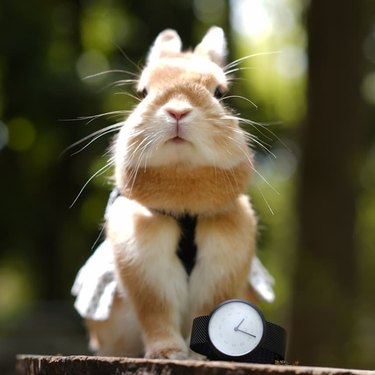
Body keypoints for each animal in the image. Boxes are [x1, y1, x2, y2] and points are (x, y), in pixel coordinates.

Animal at [81, 27, 258, 362]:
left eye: (220, 93)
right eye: (143, 92)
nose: (177, 111)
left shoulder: (221, 272)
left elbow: (207, 312)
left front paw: (201, 357)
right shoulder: (146, 270)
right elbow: (157, 313)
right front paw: (168, 353)